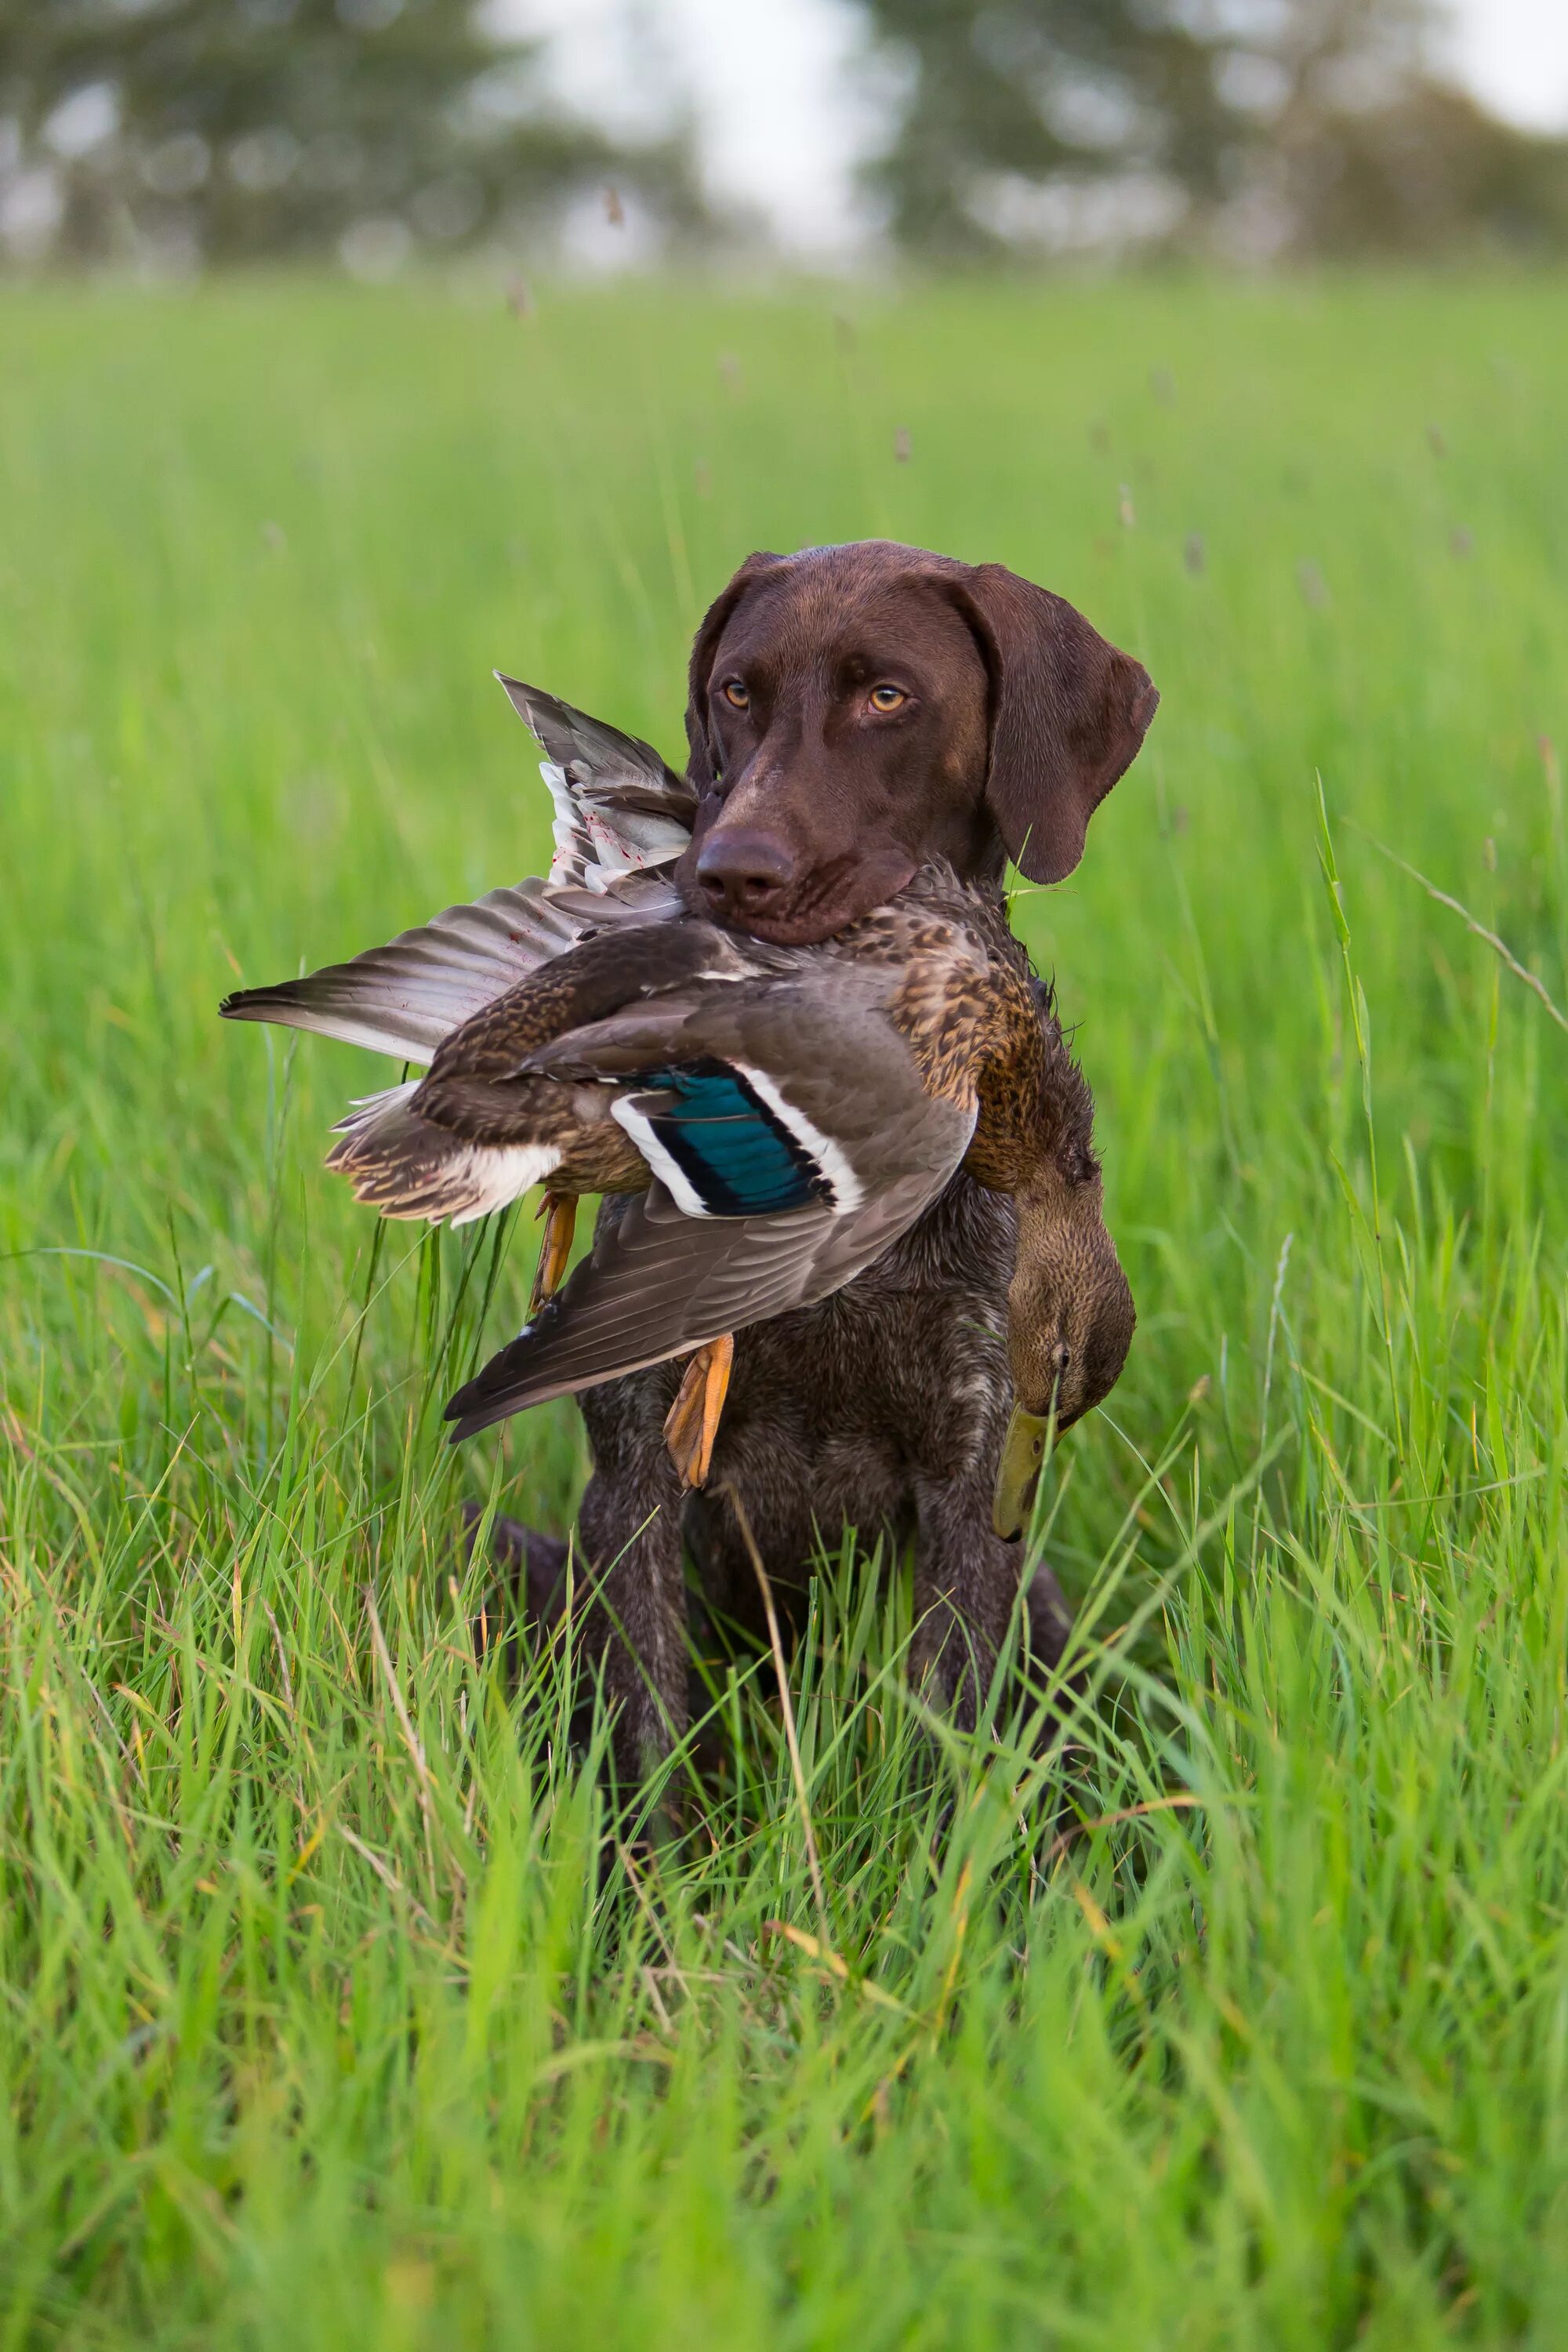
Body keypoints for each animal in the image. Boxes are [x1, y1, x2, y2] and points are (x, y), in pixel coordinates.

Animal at [486, 539, 1152, 1778]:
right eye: (737, 691)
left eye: (888, 696)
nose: (727, 871)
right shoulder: (633, 1482)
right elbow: (646, 1740)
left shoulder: (966, 1474)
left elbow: (948, 1741)